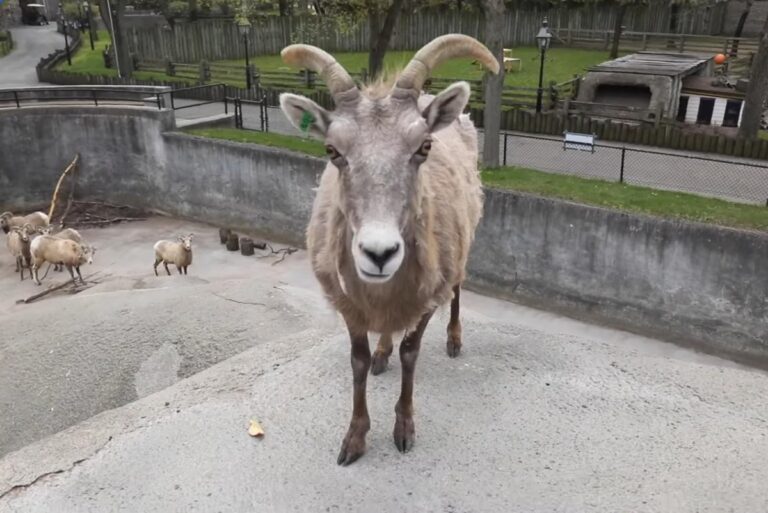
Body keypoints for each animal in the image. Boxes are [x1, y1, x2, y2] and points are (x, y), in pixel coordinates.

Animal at [278, 34, 499, 465]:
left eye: (424, 146)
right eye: (332, 151)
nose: (379, 253)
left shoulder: (427, 296)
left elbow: (411, 352)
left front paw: (403, 430)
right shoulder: (349, 302)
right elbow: (358, 361)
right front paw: (354, 440)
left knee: (458, 288)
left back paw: (454, 340)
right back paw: (383, 352)